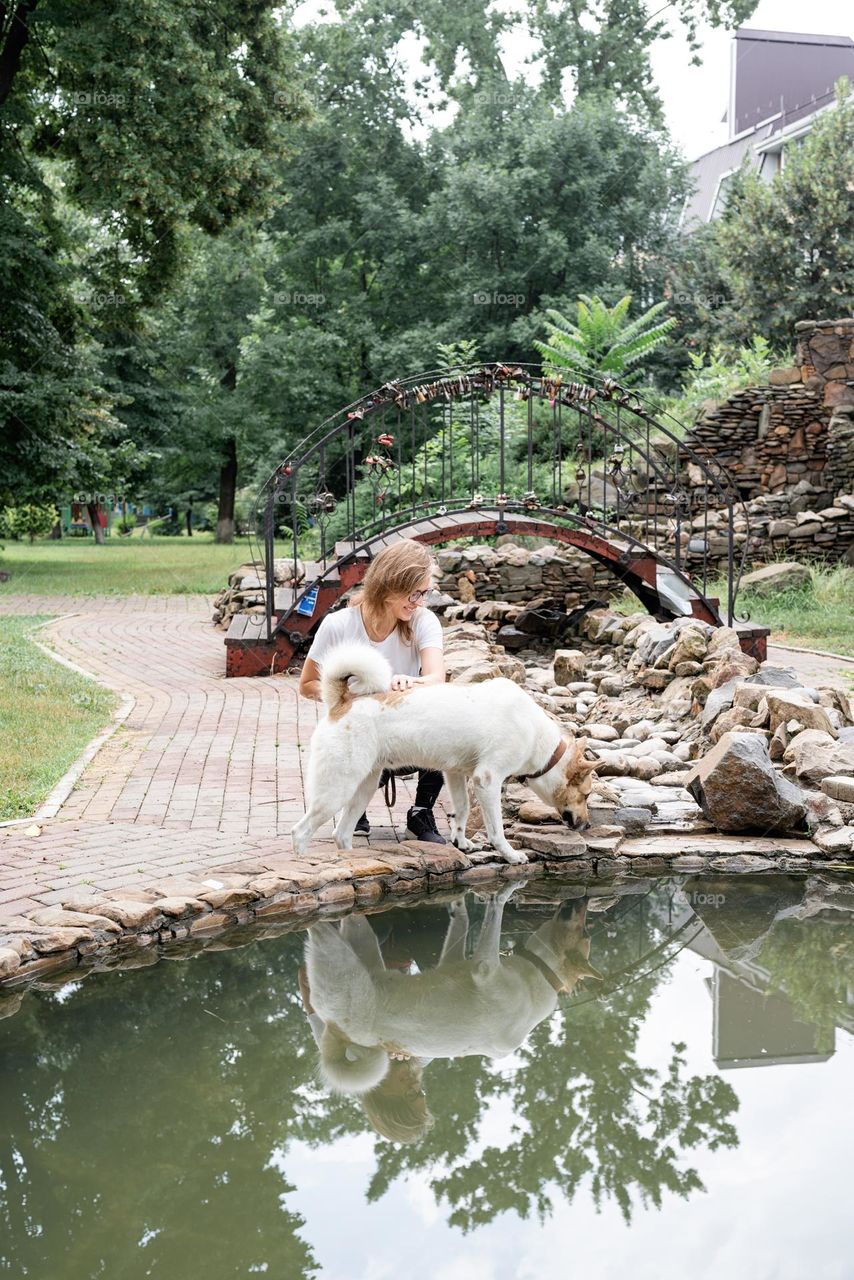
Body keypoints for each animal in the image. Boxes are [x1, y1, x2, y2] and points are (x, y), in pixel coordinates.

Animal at [290, 645, 599, 865]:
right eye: (585, 795)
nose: (587, 825)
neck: (536, 737)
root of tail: (342, 702)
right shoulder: (487, 781)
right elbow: (496, 830)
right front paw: (510, 854)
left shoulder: (455, 774)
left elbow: (461, 810)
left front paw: (461, 842)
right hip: (336, 791)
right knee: (301, 832)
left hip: (363, 788)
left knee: (341, 834)